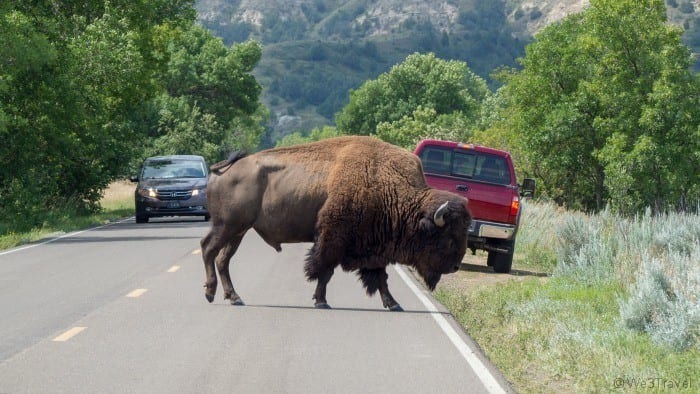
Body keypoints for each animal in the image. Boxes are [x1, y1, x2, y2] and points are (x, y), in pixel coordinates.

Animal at [200, 135, 470, 310]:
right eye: (449, 237)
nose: (455, 266)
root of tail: (224, 168)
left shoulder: (374, 248)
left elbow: (379, 277)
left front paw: (393, 304)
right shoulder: (333, 239)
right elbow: (325, 270)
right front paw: (321, 301)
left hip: (238, 231)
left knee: (223, 259)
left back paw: (234, 297)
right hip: (227, 226)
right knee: (208, 249)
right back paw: (211, 293)